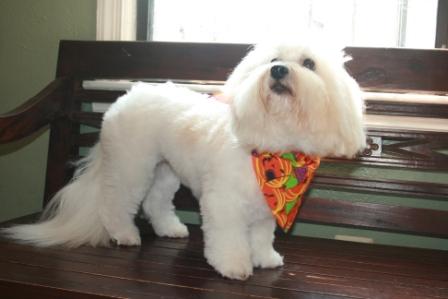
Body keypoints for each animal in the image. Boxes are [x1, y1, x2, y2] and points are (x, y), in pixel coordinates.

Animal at [5, 40, 366, 282]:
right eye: (274, 59)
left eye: (309, 63)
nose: (277, 70)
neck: (273, 149)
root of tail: (128, 96)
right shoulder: (223, 203)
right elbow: (229, 238)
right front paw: (234, 266)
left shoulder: (264, 209)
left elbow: (262, 237)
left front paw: (265, 258)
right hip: (131, 164)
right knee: (115, 202)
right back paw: (124, 234)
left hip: (165, 170)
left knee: (155, 203)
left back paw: (170, 229)